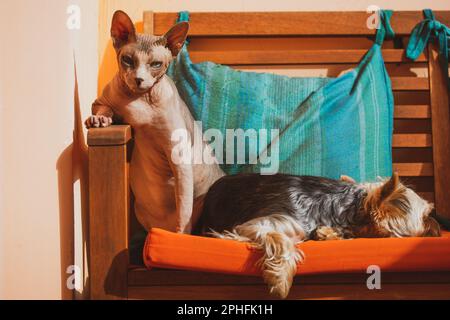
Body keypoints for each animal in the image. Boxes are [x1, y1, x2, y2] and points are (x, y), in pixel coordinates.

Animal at [85, 11, 223, 234]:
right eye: (128, 60)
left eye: (156, 64)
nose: (138, 79)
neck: (140, 100)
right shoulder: (102, 101)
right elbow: (102, 107)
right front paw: (100, 119)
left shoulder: (179, 154)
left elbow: (184, 210)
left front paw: (179, 237)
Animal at [193, 174, 440, 298]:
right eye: (426, 215)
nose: (438, 228)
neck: (347, 208)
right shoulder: (257, 224)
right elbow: (280, 239)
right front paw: (280, 280)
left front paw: (328, 234)